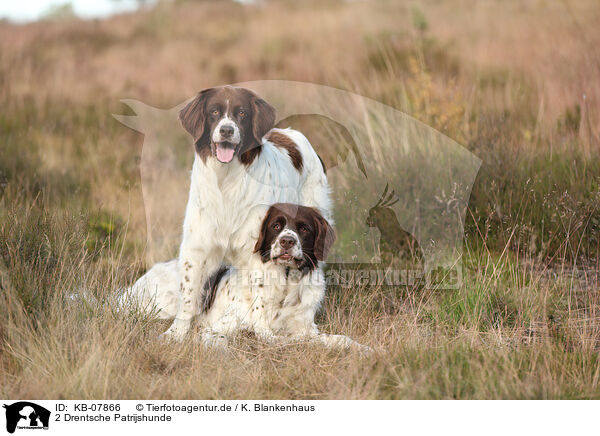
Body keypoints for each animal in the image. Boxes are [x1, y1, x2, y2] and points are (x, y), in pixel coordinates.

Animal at [124, 204, 368, 350]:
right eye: (276, 225)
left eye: (304, 228)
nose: (286, 241)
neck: (284, 286)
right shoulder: (219, 327)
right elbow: (221, 340)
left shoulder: (305, 329)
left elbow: (339, 339)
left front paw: (364, 349)